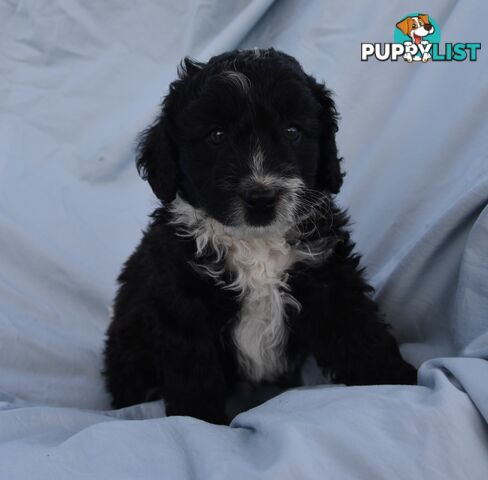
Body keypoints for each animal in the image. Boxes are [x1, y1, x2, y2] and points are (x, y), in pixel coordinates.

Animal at [103, 48, 416, 424]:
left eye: (292, 131)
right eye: (216, 135)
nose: (261, 198)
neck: (255, 242)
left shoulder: (327, 276)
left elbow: (359, 331)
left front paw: (395, 380)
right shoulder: (181, 300)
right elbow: (193, 372)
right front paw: (197, 420)